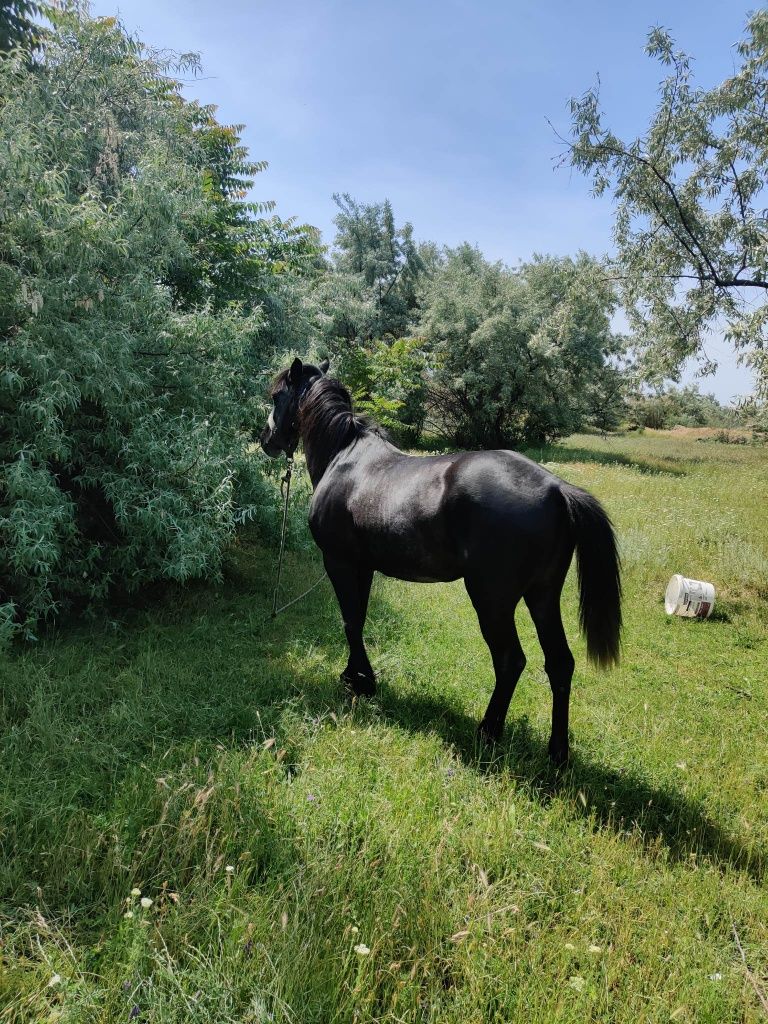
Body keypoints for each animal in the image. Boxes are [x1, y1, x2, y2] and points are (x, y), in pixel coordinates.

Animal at [262, 356, 622, 765]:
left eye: (276, 395)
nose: (266, 439)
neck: (345, 457)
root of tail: (557, 488)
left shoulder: (339, 562)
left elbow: (350, 621)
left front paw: (360, 682)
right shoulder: (364, 567)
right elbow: (359, 619)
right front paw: (358, 677)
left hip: (492, 600)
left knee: (510, 660)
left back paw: (488, 732)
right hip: (543, 596)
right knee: (560, 663)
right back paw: (557, 753)